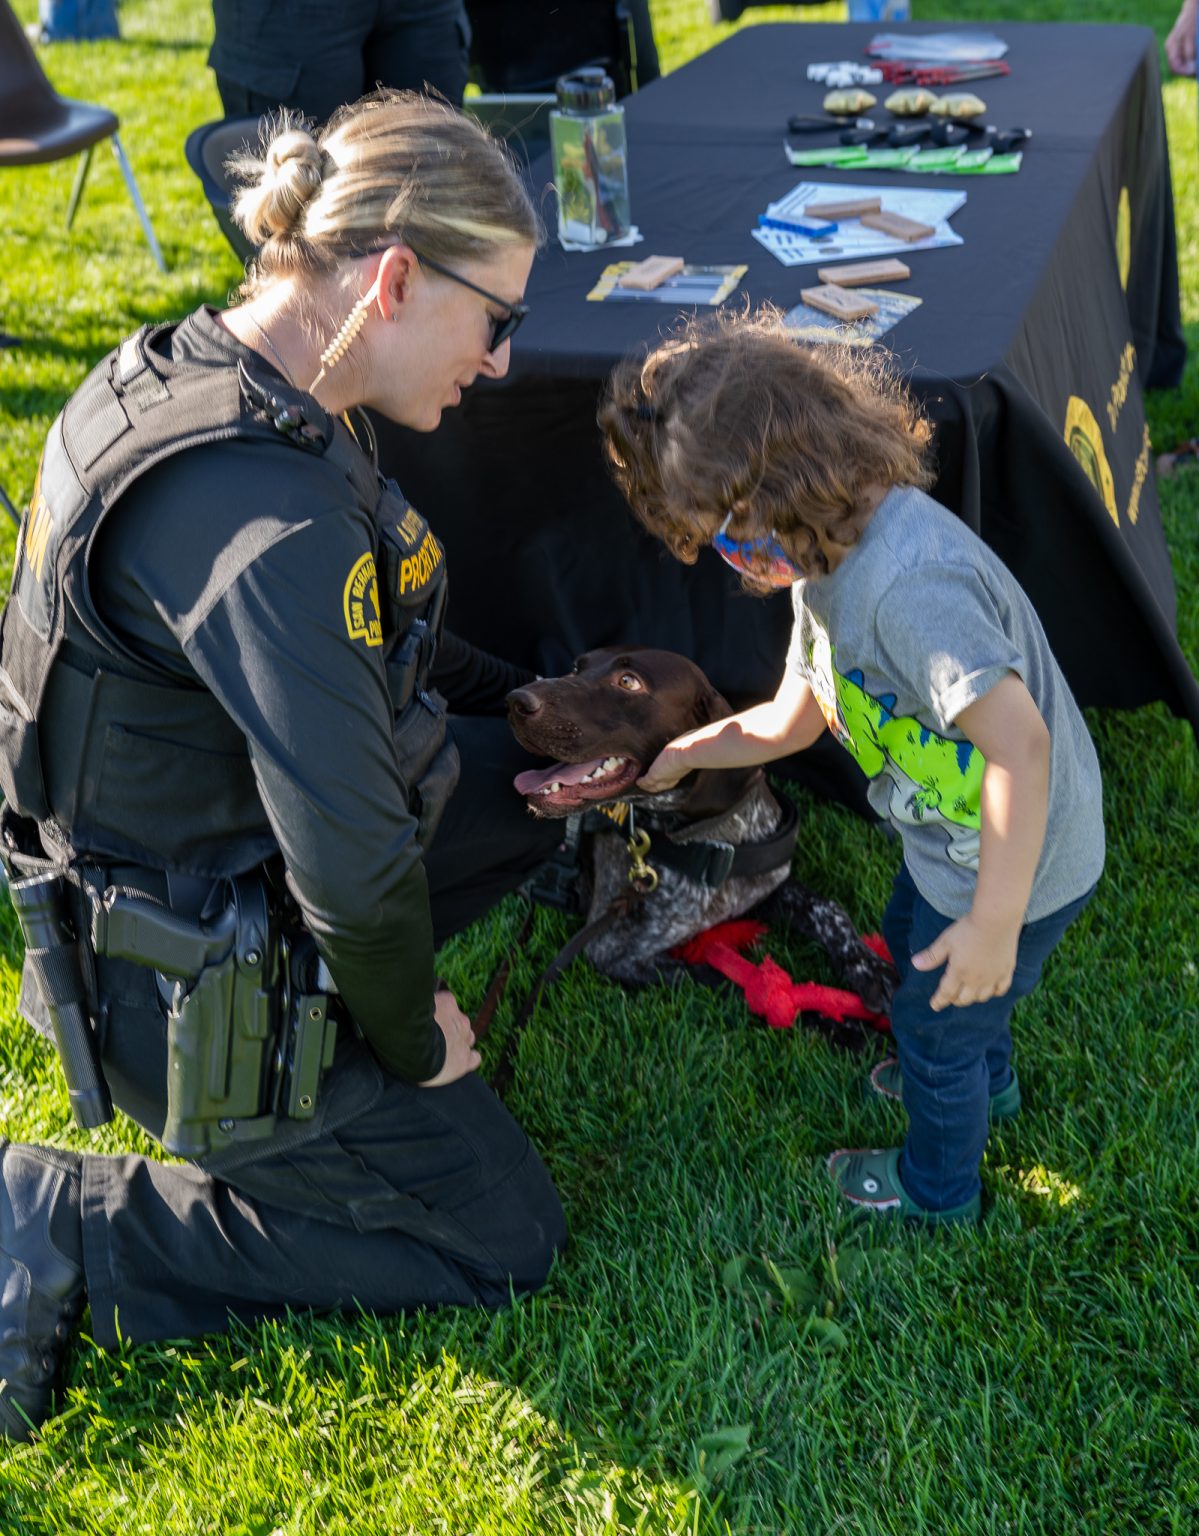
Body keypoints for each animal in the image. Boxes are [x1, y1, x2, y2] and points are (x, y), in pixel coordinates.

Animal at [503, 638, 890, 1007]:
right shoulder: (613, 951)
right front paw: (834, 1020)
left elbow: (826, 908)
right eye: (575, 668)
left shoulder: (765, 887)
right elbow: (722, 980)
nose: (515, 700)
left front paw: (870, 969)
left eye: (628, 682)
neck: (709, 842)